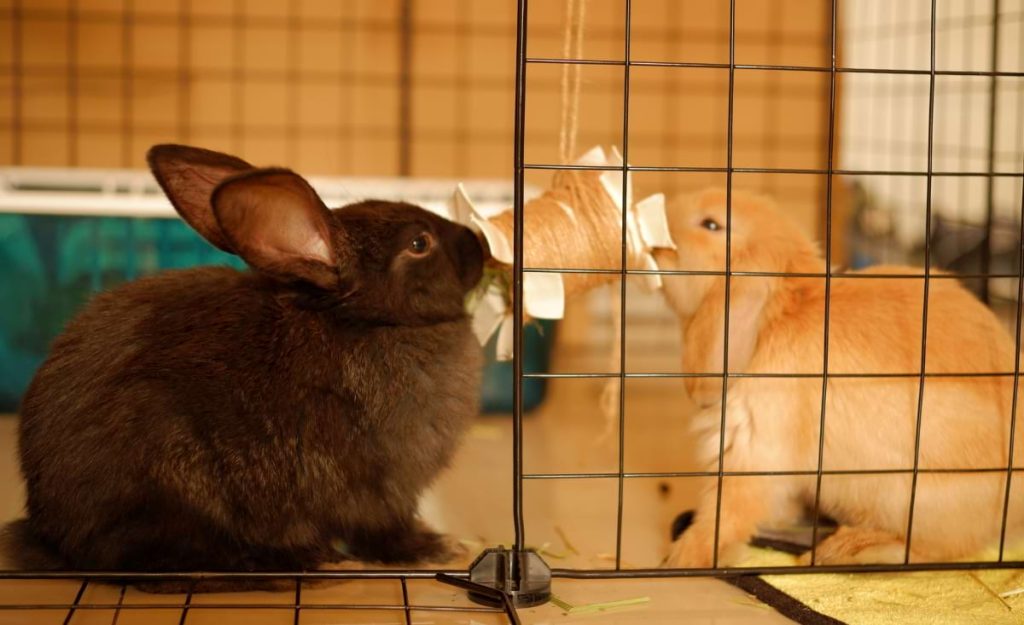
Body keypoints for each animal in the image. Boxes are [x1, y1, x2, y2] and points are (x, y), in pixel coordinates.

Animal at [2, 145, 485, 591]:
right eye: (419, 244)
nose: (478, 243)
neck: (370, 322)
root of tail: (52, 532)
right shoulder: (382, 490)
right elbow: (389, 532)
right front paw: (443, 548)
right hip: (176, 488)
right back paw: (321, 566)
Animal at [653, 188, 1024, 568]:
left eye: (711, 224)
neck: (774, 317)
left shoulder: (752, 454)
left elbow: (724, 518)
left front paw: (679, 561)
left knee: (939, 549)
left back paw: (851, 549)